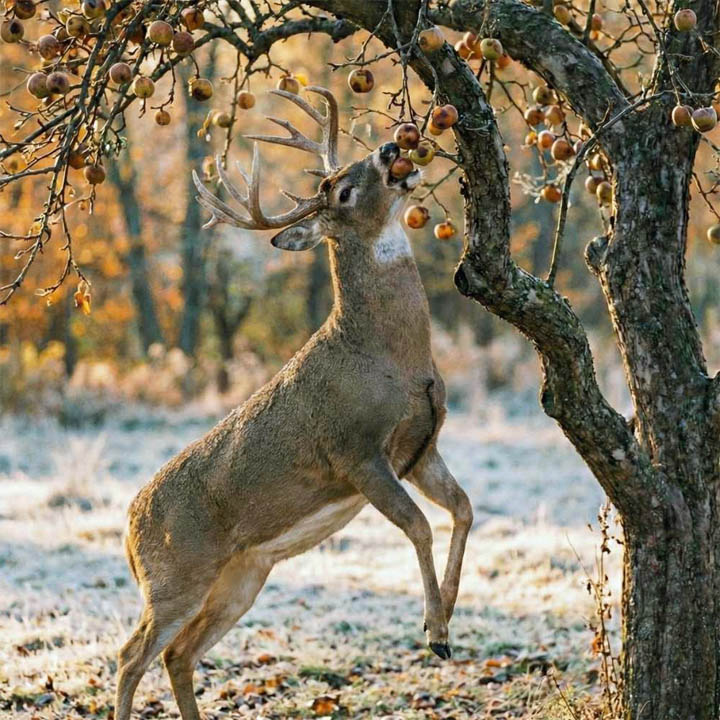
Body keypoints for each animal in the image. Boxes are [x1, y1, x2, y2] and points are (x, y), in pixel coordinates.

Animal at [115, 85, 473, 720]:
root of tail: (128, 532)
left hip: (243, 575)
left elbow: (462, 510)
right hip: (175, 575)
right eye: (344, 191)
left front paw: (448, 617)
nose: (390, 149)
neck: (391, 357)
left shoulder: (422, 447)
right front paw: (434, 632)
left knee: (177, 655)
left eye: (353, 166)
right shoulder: (355, 452)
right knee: (131, 655)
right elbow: (418, 525)